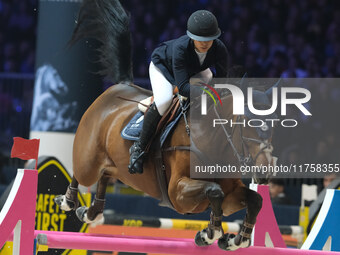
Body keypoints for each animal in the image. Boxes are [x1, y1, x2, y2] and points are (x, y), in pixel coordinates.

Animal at [55, 0, 278, 251]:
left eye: (275, 124)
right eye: (248, 123)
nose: (265, 174)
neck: (213, 140)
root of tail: (120, 85)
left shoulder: (231, 194)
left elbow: (254, 199)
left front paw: (234, 239)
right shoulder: (178, 191)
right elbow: (215, 192)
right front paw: (210, 233)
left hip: (115, 165)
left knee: (105, 175)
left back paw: (90, 212)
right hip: (89, 159)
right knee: (81, 171)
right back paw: (68, 200)